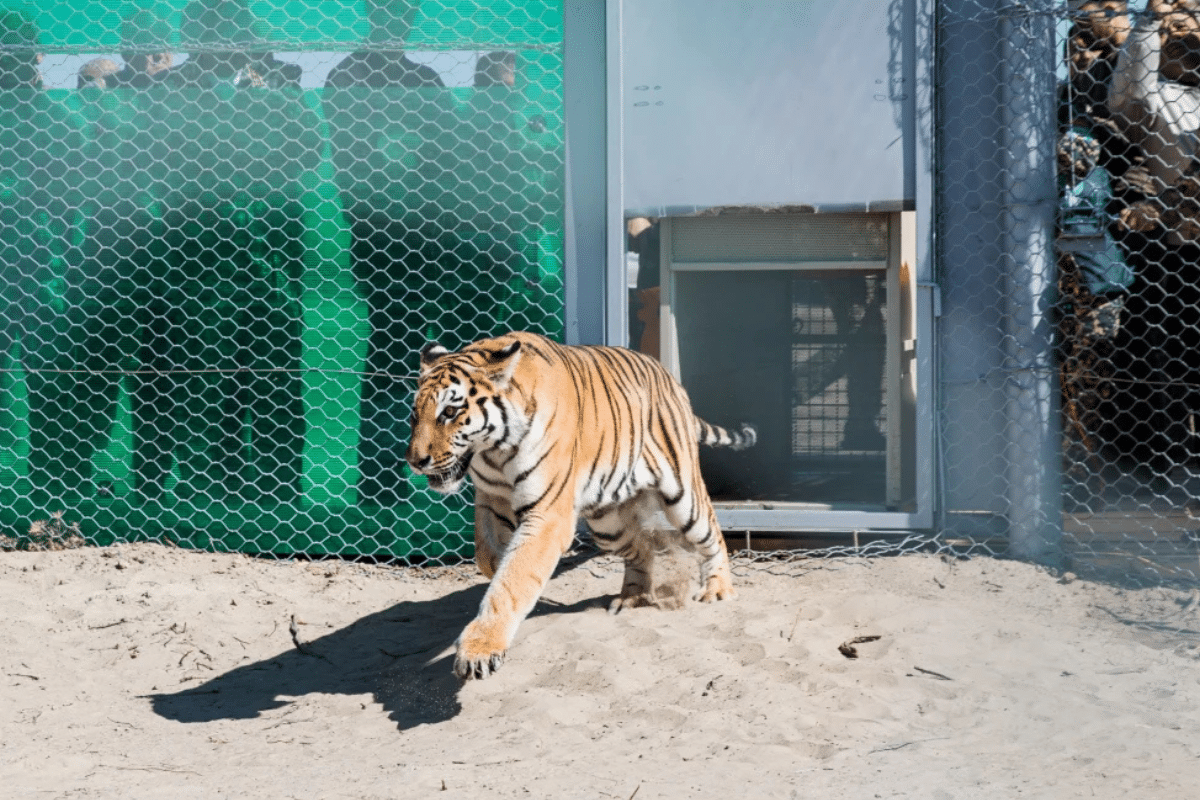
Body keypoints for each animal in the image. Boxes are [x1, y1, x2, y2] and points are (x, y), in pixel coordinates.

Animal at [405, 331, 756, 680]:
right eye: (414, 415)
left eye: (449, 413)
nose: (416, 461)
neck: (494, 451)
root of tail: (668, 376)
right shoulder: (492, 497)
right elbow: (488, 557)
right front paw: (501, 566)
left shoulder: (547, 515)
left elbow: (514, 577)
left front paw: (479, 649)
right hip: (606, 526)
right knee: (641, 548)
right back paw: (634, 597)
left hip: (683, 496)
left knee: (712, 533)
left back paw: (717, 589)